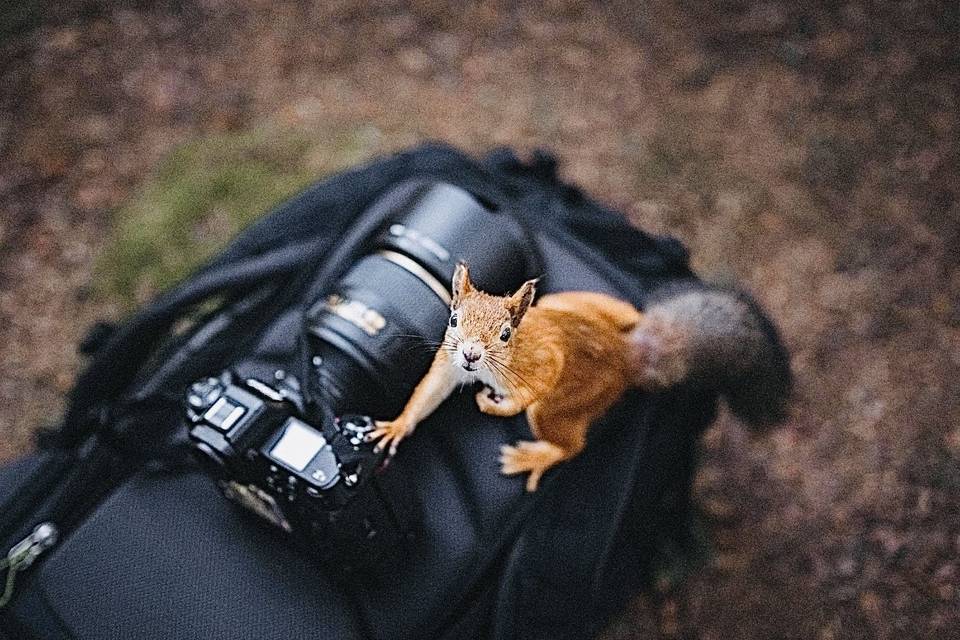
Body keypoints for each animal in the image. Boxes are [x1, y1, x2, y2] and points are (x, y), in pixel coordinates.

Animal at [368, 262, 788, 492]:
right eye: (453, 319)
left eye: (505, 334)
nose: (471, 354)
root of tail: (627, 356)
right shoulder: (448, 362)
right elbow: (430, 392)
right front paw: (397, 426)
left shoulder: (545, 359)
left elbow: (538, 383)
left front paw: (496, 406)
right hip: (573, 303)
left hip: (570, 401)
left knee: (570, 443)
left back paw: (536, 457)